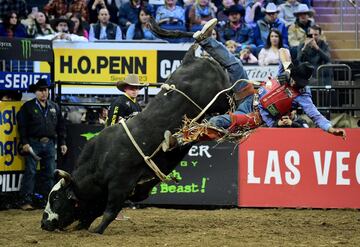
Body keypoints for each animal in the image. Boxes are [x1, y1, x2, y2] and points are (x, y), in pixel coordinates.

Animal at [40, 41, 232, 233]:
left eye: (55, 198)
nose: (43, 223)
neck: (100, 160)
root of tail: (189, 60)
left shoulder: (119, 185)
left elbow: (109, 212)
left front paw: (96, 230)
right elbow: (94, 210)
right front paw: (82, 226)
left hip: (220, 98)